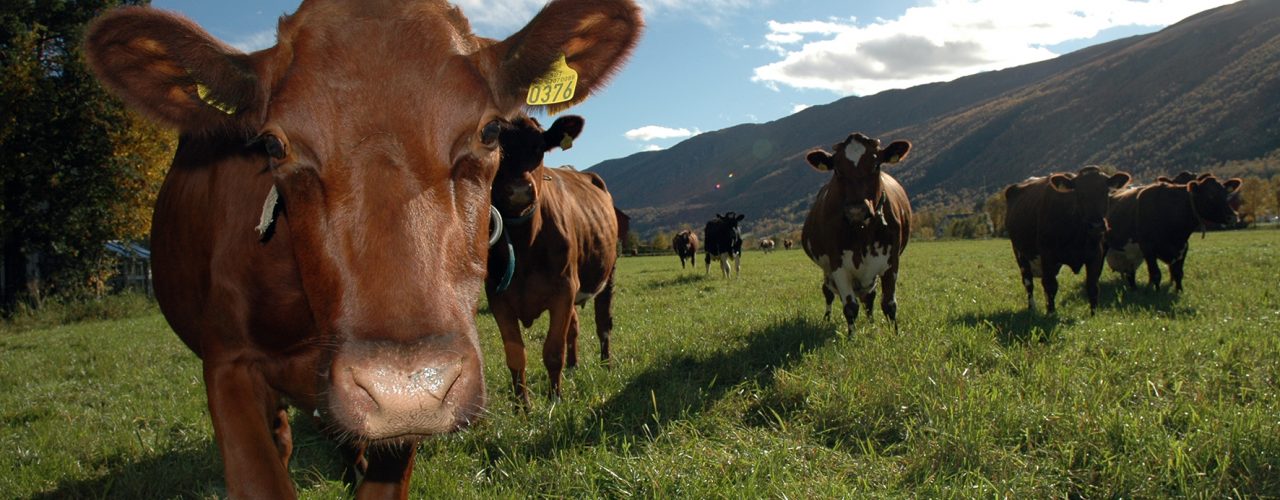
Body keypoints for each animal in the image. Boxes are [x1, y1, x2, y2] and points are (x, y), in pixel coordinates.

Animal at [486, 115, 622, 409]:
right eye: (496, 150)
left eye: (539, 147)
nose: (519, 190)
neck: (525, 244)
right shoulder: (497, 297)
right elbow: (516, 356)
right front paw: (522, 407)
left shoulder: (563, 289)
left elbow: (552, 350)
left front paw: (554, 399)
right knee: (575, 327)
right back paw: (573, 366)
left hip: (607, 274)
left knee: (603, 323)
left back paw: (605, 364)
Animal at [798, 132, 911, 337]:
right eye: (837, 170)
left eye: (876, 165)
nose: (856, 210)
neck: (862, 231)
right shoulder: (837, 264)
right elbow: (850, 306)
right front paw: (851, 337)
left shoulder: (892, 262)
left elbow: (889, 304)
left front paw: (895, 334)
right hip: (827, 270)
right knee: (828, 292)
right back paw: (827, 318)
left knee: (870, 296)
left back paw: (871, 321)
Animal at [1008, 166, 1131, 315]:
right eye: (1079, 193)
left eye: (1105, 191)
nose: (1096, 225)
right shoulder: (1047, 254)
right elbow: (1050, 285)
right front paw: (1051, 313)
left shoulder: (1096, 254)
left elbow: (1093, 286)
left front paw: (1093, 314)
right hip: (1020, 254)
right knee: (1028, 282)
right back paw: (1032, 308)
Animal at [1105, 173, 1244, 291]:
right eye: (1210, 195)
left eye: (1226, 194)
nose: (1233, 216)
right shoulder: (1148, 248)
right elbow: (1156, 274)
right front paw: (1157, 293)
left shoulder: (1183, 247)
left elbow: (1178, 273)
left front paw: (1179, 291)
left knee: (1130, 273)